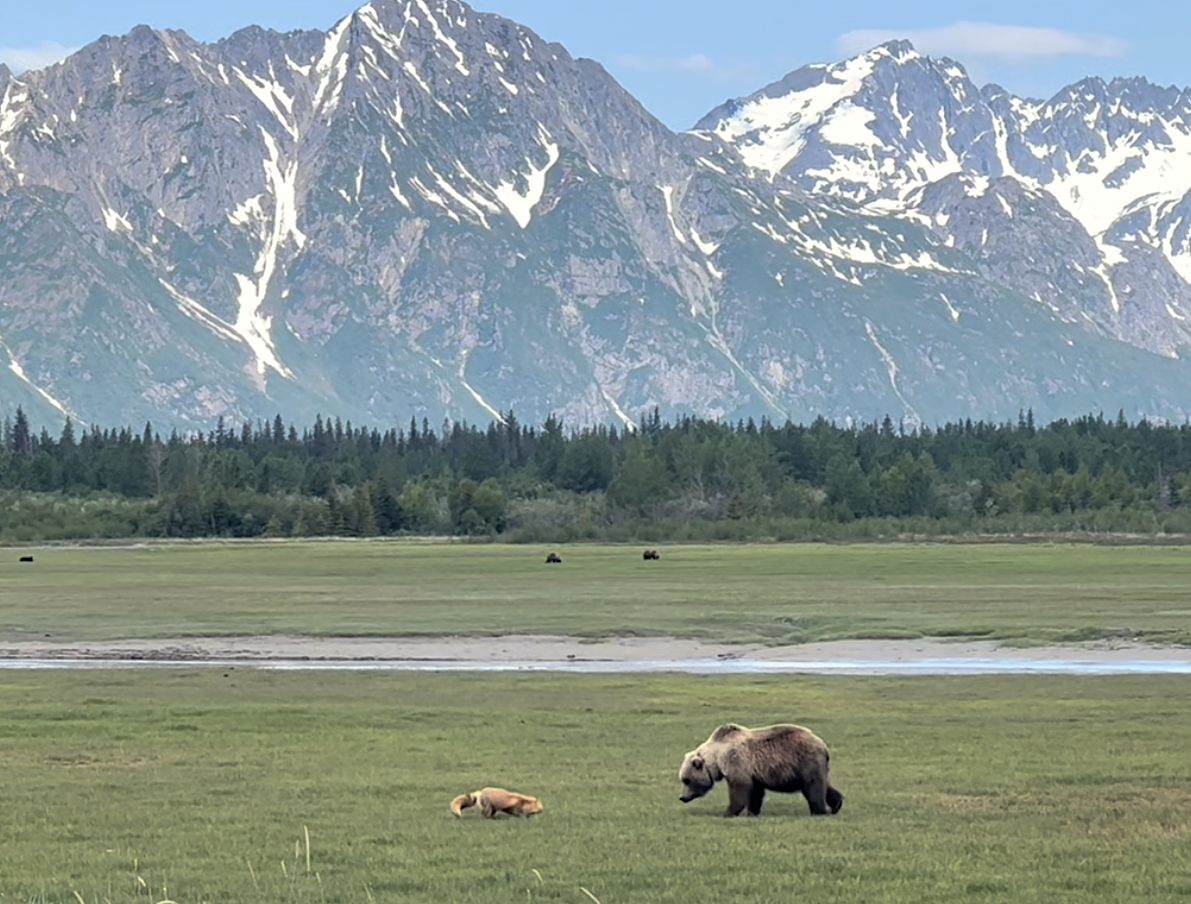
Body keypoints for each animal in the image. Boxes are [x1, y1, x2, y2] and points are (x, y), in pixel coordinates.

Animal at [686, 724, 843, 814]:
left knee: (813, 787)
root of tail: (823, 745)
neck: (718, 756)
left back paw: (819, 811)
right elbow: (755, 792)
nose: (683, 797)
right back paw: (836, 805)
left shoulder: (736, 761)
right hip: (815, 765)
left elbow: (740, 787)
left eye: (686, 780)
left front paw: (729, 812)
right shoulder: (753, 772)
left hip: (805, 761)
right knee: (824, 785)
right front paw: (752, 812)